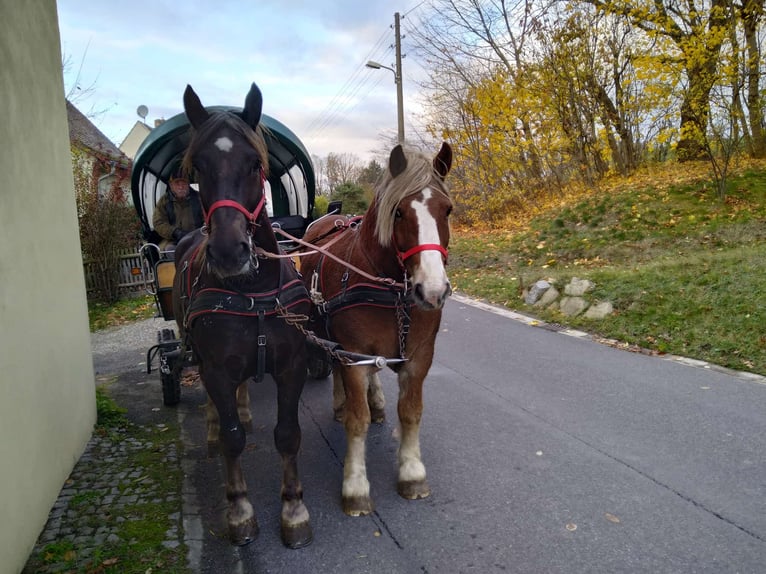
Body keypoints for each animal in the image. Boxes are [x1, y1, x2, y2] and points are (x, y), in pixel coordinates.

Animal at [174, 84, 316, 548]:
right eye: (198, 168)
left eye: (255, 164)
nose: (228, 252)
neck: (251, 292)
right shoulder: (217, 368)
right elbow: (232, 440)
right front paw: (239, 511)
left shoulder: (293, 365)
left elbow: (288, 434)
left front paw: (293, 510)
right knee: (217, 410)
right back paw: (213, 428)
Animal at [302, 142, 456, 516]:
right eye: (398, 213)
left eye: (447, 210)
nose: (433, 291)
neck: (389, 287)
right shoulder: (353, 355)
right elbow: (356, 420)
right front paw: (355, 485)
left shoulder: (419, 357)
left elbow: (411, 412)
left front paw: (412, 473)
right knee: (339, 370)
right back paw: (342, 404)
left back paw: (377, 403)